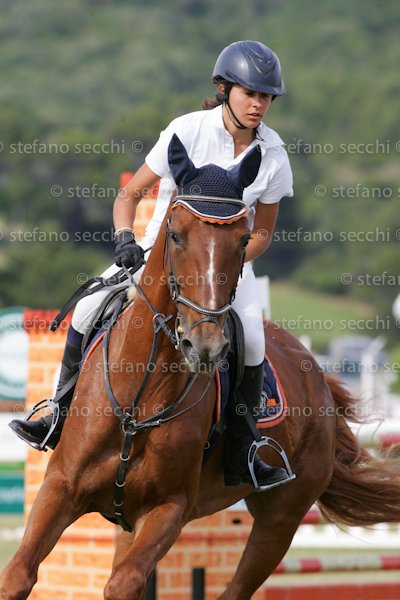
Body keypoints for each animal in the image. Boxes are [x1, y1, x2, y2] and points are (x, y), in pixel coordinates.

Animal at [1, 137, 400, 600]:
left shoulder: (170, 507)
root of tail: (317, 376)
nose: (204, 346)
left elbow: (123, 583)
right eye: (175, 234)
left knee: (238, 585)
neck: (141, 393)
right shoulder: (61, 487)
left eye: (243, 240)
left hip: (280, 520)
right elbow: (18, 575)